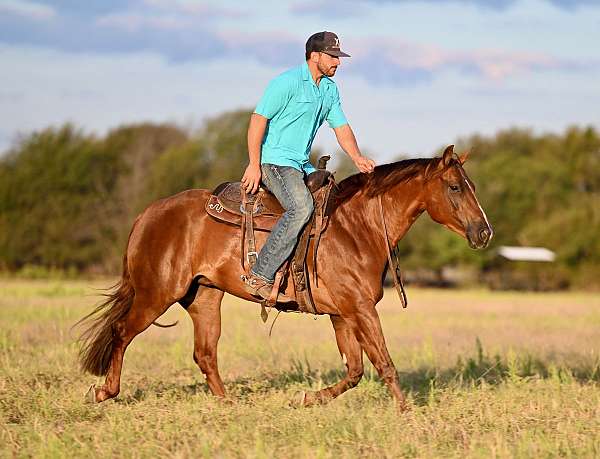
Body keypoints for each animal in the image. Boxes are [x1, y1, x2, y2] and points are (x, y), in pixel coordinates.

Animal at [78, 146, 492, 408]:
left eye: (472, 185)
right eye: (455, 187)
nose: (484, 232)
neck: (356, 227)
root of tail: (147, 214)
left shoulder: (342, 314)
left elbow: (355, 370)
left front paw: (307, 398)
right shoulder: (360, 309)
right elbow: (384, 363)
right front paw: (406, 412)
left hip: (204, 298)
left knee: (205, 353)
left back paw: (229, 405)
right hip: (155, 295)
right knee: (121, 332)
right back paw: (104, 392)